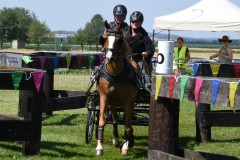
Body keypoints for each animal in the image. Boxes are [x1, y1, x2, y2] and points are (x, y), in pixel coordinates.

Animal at [95, 21, 137, 155]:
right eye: (104, 39)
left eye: (119, 40)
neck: (115, 74)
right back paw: (116, 140)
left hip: (131, 101)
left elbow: (127, 124)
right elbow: (102, 120)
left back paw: (129, 140)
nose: (110, 58)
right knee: (115, 119)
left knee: (128, 122)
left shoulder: (126, 101)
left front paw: (125, 146)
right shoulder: (104, 97)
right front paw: (99, 146)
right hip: (112, 102)